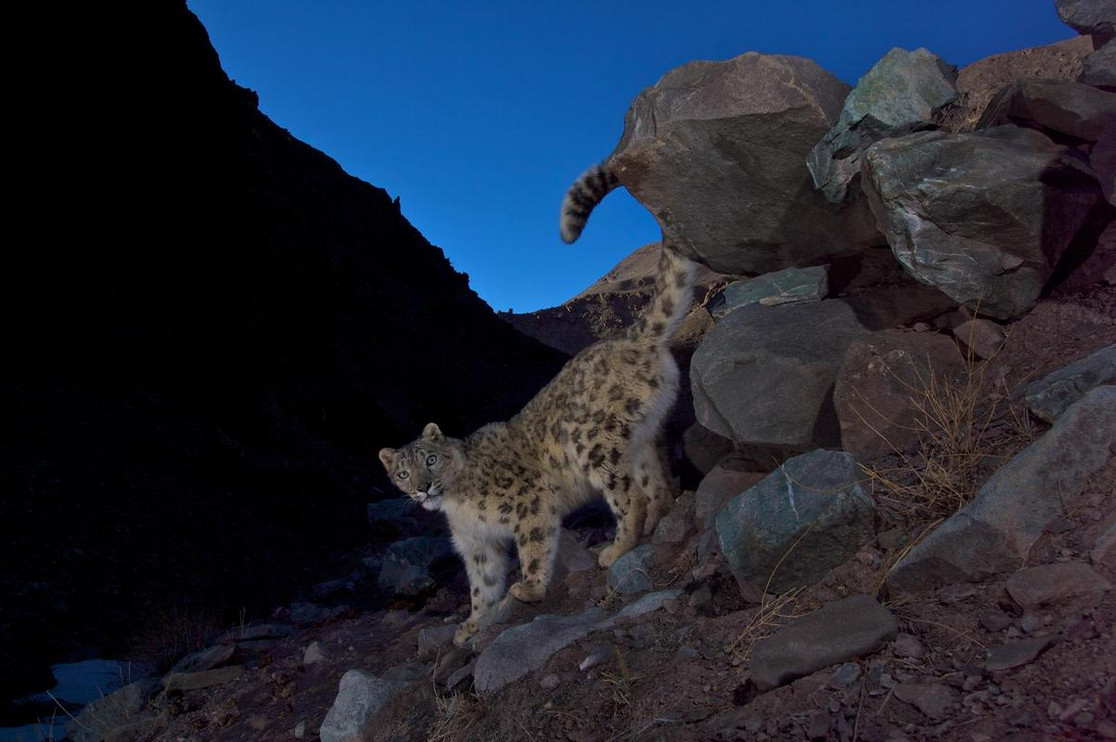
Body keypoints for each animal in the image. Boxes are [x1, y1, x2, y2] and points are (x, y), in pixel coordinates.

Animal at [378, 162, 694, 646]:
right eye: (401, 473)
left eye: (430, 460)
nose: (422, 488)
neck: (456, 503)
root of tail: (631, 339)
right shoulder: (476, 544)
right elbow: (481, 583)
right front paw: (471, 625)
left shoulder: (528, 504)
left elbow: (531, 546)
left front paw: (527, 589)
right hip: (641, 436)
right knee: (656, 483)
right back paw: (653, 521)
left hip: (592, 442)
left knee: (630, 495)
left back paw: (616, 547)